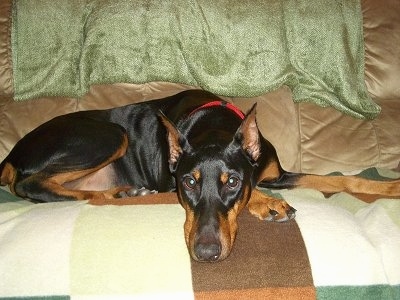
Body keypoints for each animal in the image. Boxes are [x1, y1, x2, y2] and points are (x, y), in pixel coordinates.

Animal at [2, 90, 400, 262]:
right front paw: (268, 203)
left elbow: (339, 179)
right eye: (188, 182)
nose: (206, 253)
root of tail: (12, 150)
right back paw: (121, 194)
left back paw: (125, 192)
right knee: (28, 183)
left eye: (232, 182)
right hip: (110, 134)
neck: (214, 126)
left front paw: (390, 186)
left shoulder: (275, 172)